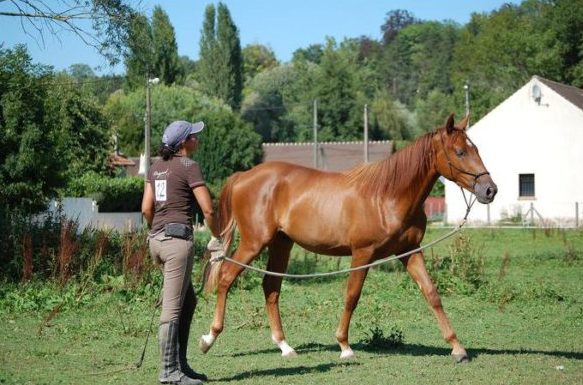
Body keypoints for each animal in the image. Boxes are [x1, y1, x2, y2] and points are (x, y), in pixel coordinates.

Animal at [200, 112, 498, 362]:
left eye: (476, 149)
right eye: (460, 151)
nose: (489, 190)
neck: (388, 196)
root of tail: (243, 176)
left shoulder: (411, 251)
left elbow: (431, 294)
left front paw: (457, 348)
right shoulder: (362, 253)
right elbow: (352, 296)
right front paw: (344, 346)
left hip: (281, 244)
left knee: (270, 288)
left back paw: (285, 346)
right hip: (253, 243)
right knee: (225, 278)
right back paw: (209, 338)